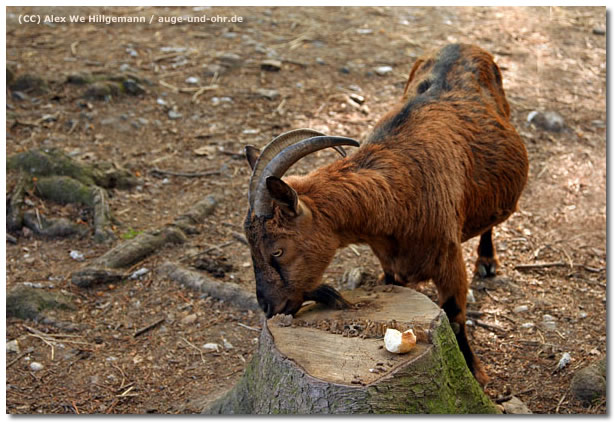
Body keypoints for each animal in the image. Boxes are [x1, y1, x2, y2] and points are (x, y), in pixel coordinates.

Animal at [244, 44, 528, 386]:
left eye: (277, 250)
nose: (268, 306)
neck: (398, 192)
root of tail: (463, 45)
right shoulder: (389, 260)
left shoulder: (448, 258)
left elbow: (455, 315)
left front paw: (475, 372)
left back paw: (487, 261)